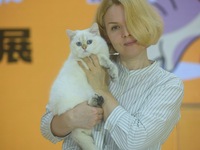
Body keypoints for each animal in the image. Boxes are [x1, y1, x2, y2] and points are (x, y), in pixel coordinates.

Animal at [47, 22, 118, 150]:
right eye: (79, 44)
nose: (84, 47)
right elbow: (105, 59)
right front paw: (113, 72)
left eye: (89, 42)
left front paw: (113, 75)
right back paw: (96, 100)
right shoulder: (89, 60)